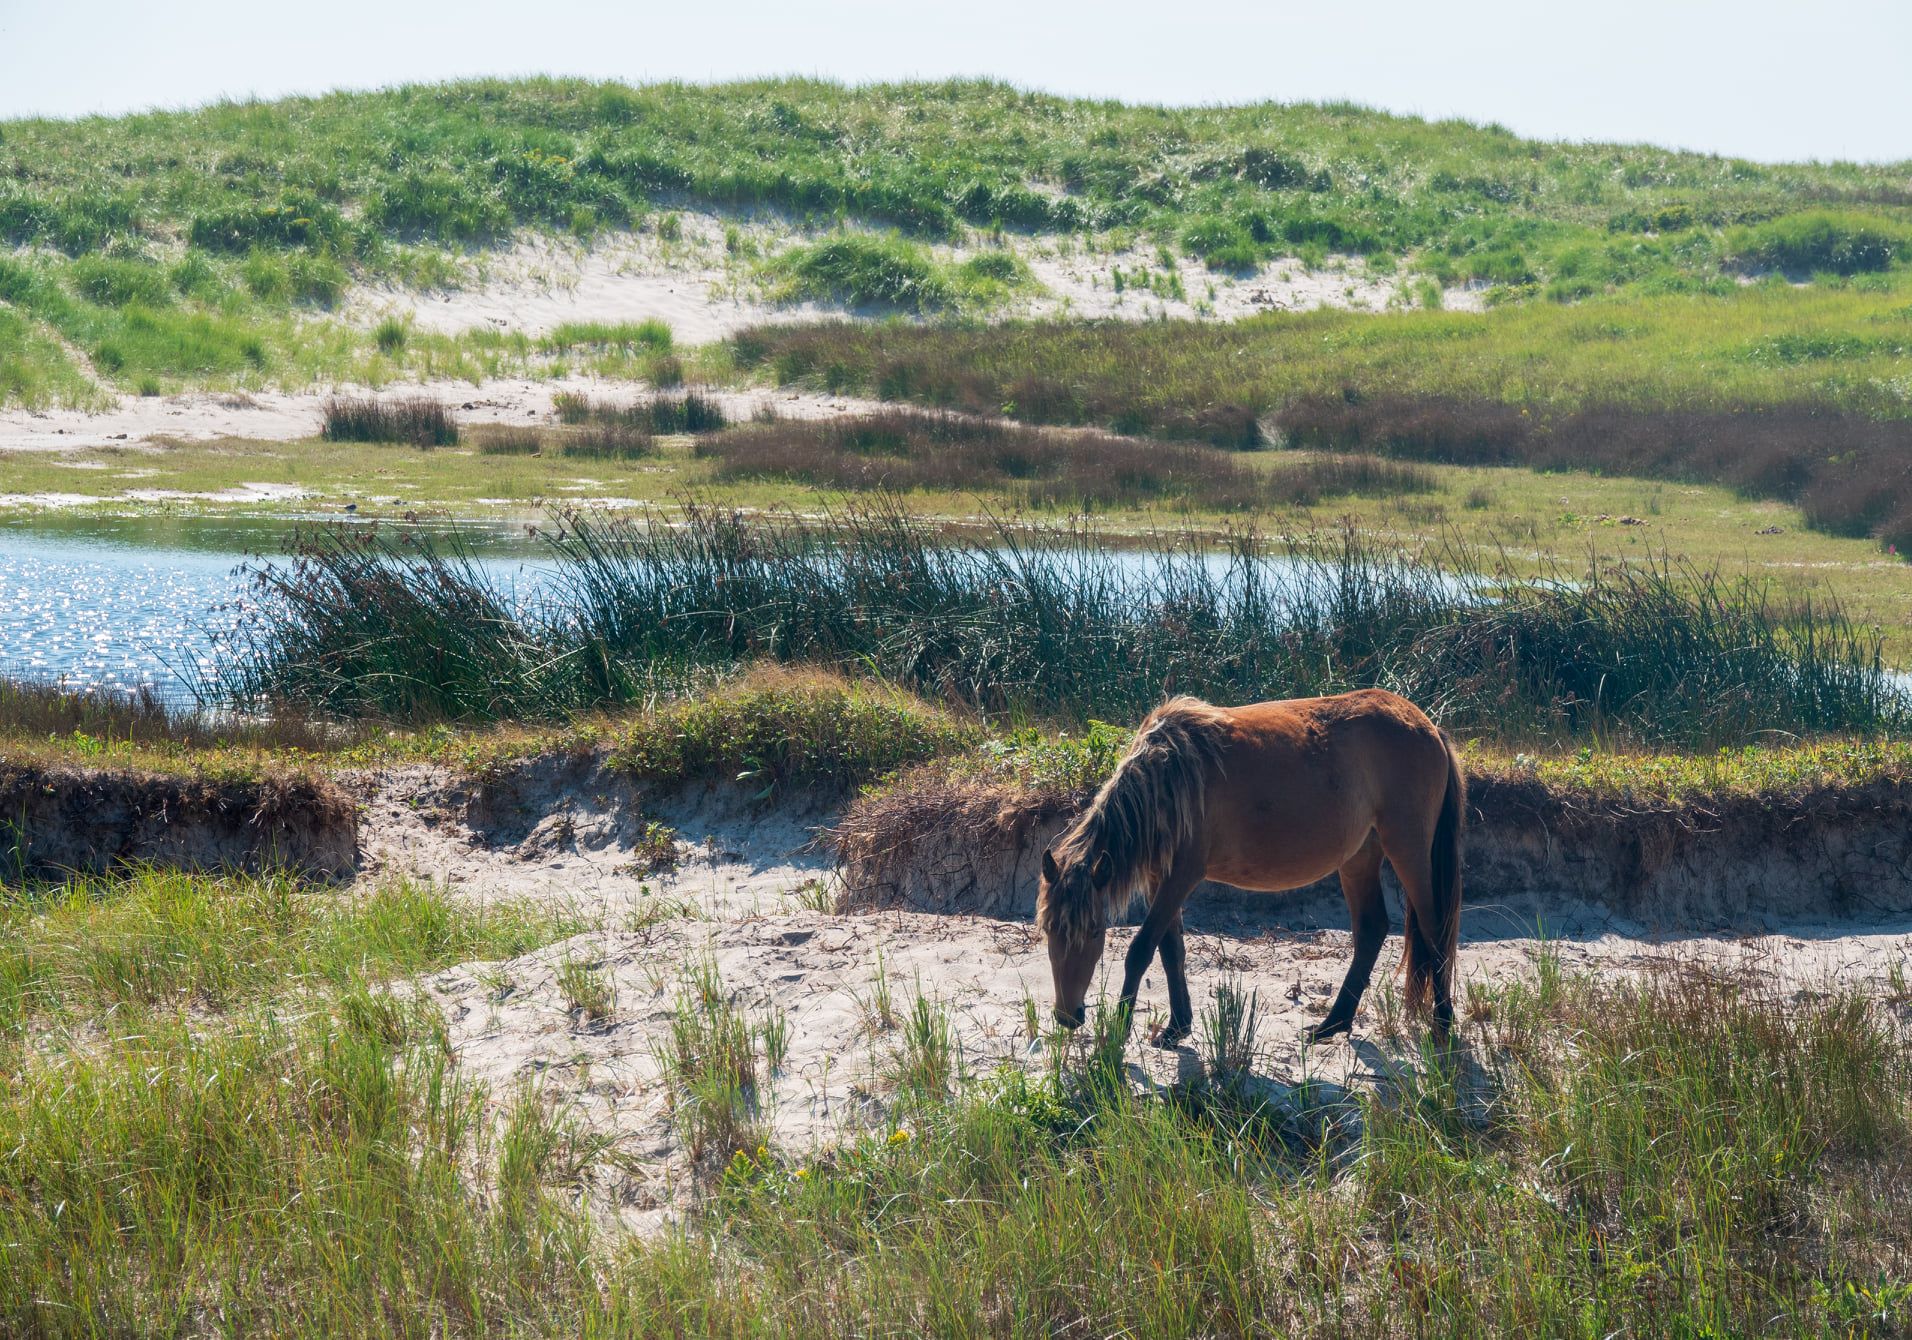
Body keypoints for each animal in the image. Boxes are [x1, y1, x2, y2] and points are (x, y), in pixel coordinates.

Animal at [1032, 688, 1460, 1047]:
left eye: (1094, 931)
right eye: (1049, 929)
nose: (1068, 1016)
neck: (1169, 778)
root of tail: (1428, 726)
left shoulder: (1181, 877)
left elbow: (1140, 949)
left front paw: (1119, 1032)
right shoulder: (1159, 880)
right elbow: (1171, 950)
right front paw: (1176, 1028)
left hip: (1407, 848)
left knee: (1434, 927)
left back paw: (1441, 1024)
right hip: (1359, 857)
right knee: (1371, 930)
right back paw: (1332, 1025)